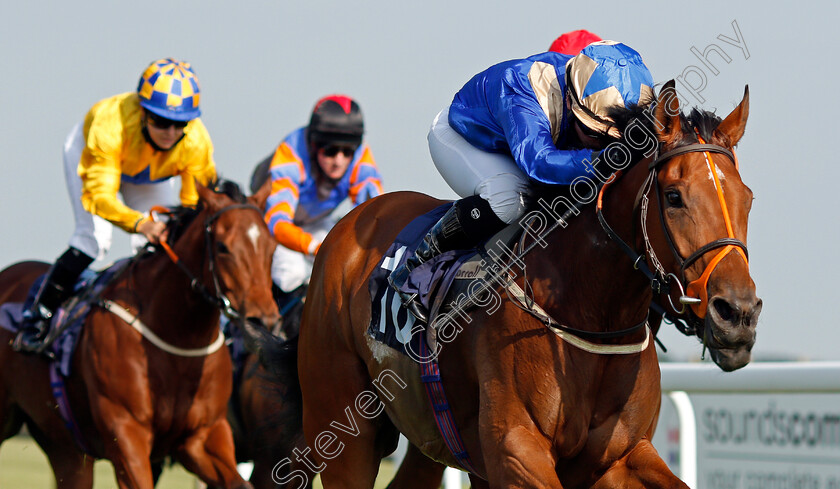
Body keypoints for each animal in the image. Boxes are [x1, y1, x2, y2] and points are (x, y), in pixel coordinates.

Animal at [0, 180, 282, 488]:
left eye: (272, 246)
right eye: (222, 247)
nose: (263, 320)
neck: (177, 337)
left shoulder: (203, 436)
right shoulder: (126, 435)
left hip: (64, 447)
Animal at [272, 81, 756, 488]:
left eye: (748, 198)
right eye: (674, 197)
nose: (737, 313)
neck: (587, 312)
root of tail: (349, 227)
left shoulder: (619, 455)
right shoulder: (516, 448)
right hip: (341, 422)